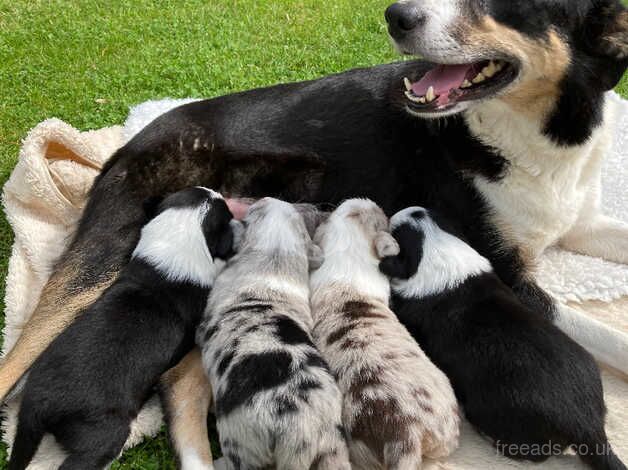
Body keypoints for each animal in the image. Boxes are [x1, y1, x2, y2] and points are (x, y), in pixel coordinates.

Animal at [9, 187, 236, 470]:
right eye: (224, 211)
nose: (220, 193)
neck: (179, 238)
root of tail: (40, 405)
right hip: (105, 432)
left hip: (26, 425)